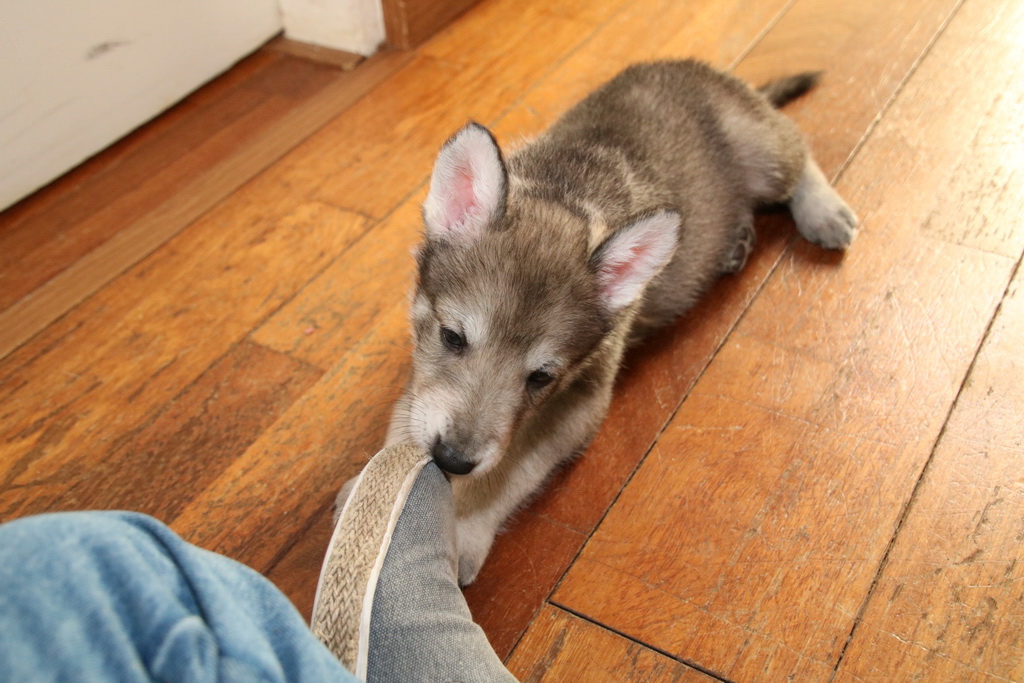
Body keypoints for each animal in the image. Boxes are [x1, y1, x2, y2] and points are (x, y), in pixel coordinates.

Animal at [336, 60, 857, 585]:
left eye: (540, 378)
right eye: (452, 337)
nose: (452, 461)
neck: (564, 193)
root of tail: (715, 73)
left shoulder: (580, 403)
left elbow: (509, 468)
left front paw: (462, 525)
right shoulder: (422, 370)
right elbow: (407, 422)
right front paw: (371, 496)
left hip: (767, 157)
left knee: (801, 152)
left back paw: (825, 212)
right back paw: (739, 240)